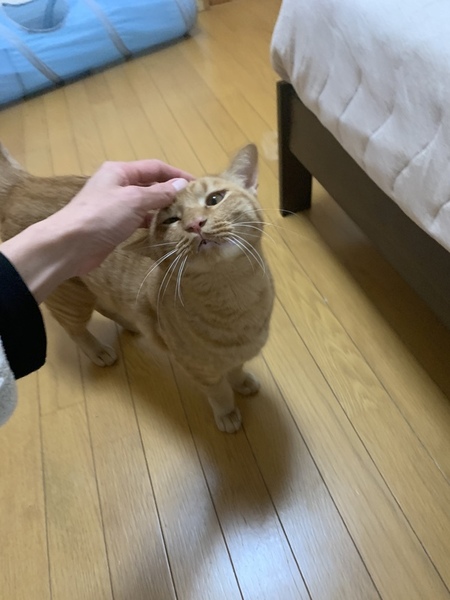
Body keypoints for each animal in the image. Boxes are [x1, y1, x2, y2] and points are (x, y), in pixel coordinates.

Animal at [0, 143, 274, 433]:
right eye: (171, 220)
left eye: (214, 199)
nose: (195, 224)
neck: (235, 295)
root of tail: (22, 184)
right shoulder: (199, 369)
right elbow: (219, 391)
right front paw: (227, 412)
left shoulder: (237, 354)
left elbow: (236, 369)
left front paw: (242, 382)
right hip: (70, 296)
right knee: (74, 329)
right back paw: (97, 350)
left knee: (106, 305)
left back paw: (130, 324)